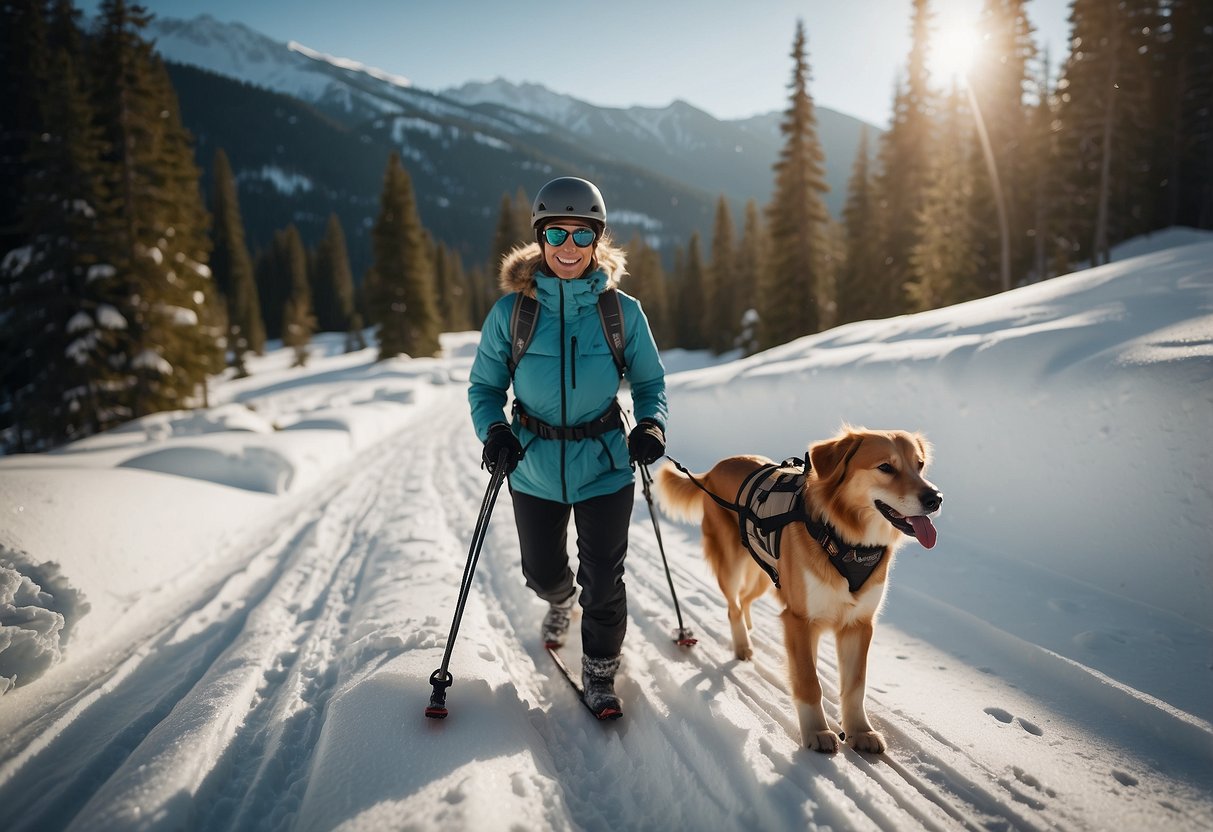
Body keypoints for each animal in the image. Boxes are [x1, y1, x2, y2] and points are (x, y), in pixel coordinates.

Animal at [659, 429, 941, 756]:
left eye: (919, 465)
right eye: (886, 467)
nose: (935, 498)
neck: (846, 540)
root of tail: (715, 469)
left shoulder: (858, 624)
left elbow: (855, 686)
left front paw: (860, 731)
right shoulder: (799, 620)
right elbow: (808, 681)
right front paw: (817, 731)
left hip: (767, 577)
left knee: (745, 600)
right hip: (731, 565)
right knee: (733, 605)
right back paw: (742, 645)